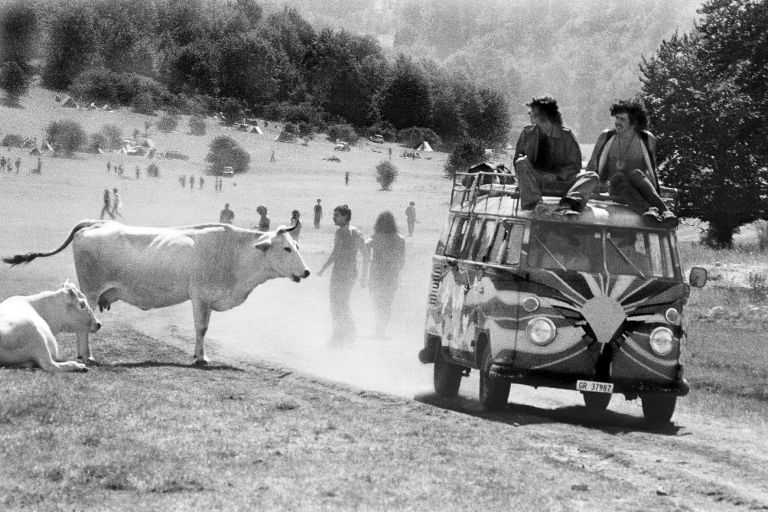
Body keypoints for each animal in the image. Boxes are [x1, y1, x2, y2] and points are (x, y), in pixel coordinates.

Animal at [3, 219, 308, 364]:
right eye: (286, 248)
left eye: (297, 246)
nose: (306, 272)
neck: (233, 252)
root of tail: (96, 223)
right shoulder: (200, 297)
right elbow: (201, 329)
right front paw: (201, 358)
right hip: (88, 292)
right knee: (82, 326)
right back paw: (86, 355)